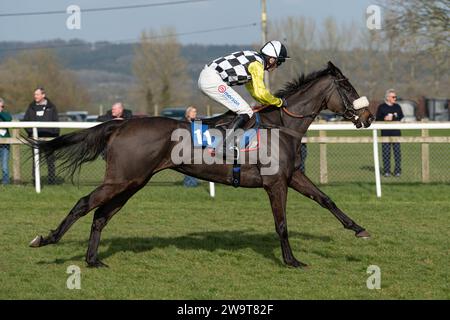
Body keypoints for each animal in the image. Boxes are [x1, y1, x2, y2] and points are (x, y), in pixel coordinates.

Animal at [27, 62, 372, 268]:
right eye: (348, 88)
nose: (368, 117)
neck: (281, 125)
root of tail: (121, 123)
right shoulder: (275, 184)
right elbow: (282, 224)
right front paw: (291, 261)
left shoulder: (292, 176)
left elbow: (326, 199)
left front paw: (359, 229)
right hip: (121, 180)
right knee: (85, 203)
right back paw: (46, 239)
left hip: (133, 182)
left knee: (100, 215)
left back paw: (93, 260)